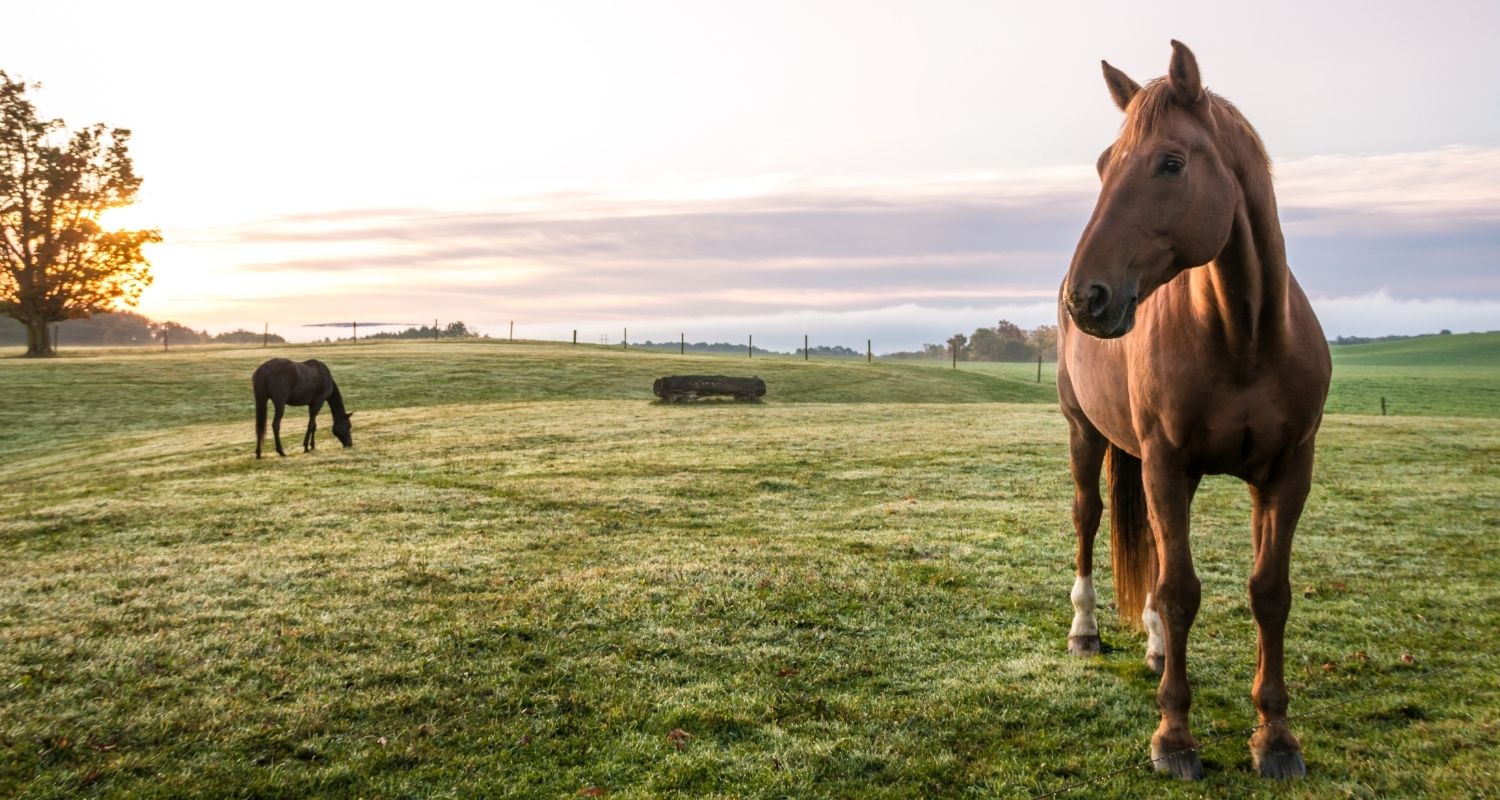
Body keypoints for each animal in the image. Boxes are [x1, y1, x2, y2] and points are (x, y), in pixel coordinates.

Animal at [1062, 39, 1332, 780]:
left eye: (1171, 162)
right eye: (1104, 164)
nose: (1085, 297)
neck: (1243, 336)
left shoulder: (1288, 473)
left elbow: (1269, 592)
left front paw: (1276, 736)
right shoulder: (1166, 464)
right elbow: (1181, 592)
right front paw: (1174, 737)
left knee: (1153, 553)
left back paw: (1156, 650)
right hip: (1084, 434)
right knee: (1089, 519)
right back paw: (1085, 631)